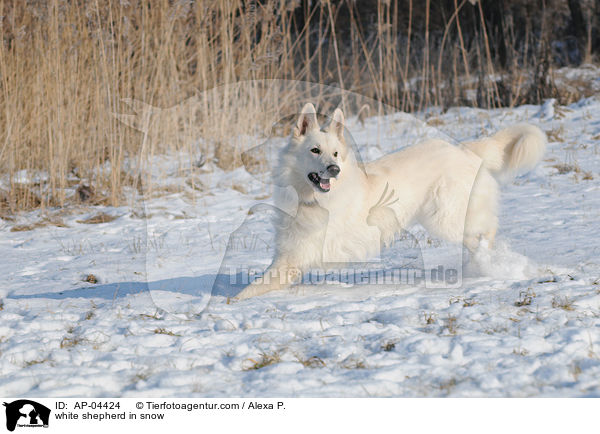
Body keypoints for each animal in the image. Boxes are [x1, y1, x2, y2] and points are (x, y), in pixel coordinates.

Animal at [236, 102, 548, 298]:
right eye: (315, 150)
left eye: (335, 154)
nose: (334, 169)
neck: (310, 197)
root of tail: (465, 149)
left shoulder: (295, 257)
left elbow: (251, 289)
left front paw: (227, 306)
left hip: (444, 218)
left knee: (487, 229)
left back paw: (489, 260)